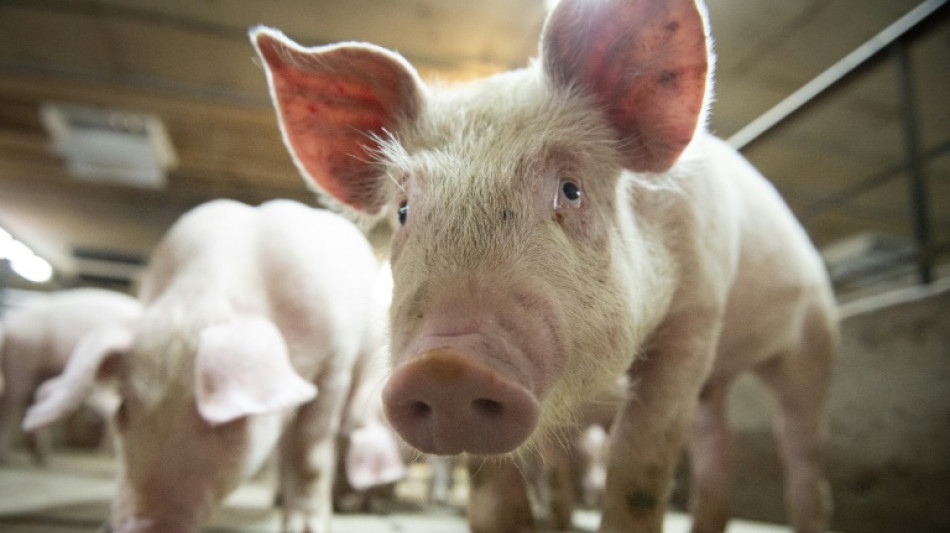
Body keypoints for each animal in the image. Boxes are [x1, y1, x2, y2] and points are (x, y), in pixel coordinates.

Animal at [23, 199, 385, 533]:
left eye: (222, 425)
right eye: (124, 408)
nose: (138, 525)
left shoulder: (335, 360)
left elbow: (311, 452)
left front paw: (305, 528)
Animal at [251, 0, 838, 531]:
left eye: (571, 190)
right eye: (402, 211)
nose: (445, 367)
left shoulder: (697, 313)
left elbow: (640, 468)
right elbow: (499, 491)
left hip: (813, 339)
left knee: (803, 453)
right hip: (719, 387)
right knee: (717, 448)